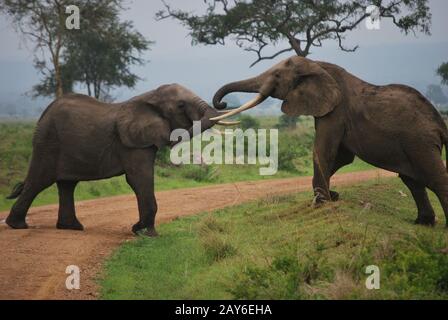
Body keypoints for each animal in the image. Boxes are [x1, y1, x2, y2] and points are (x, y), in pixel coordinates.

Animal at [6, 84, 234, 236]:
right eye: (180, 105)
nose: (222, 102)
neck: (150, 97)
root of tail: (44, 113)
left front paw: (142, 231)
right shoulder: (131, 143)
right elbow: (139, 179)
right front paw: (144, 233)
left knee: (67, 184)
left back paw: (71, 228)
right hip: (48, 142)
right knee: (39, 181)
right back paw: (17, 226)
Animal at [212, 56, 448, 226]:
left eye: (277, 75)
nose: (222, 103)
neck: (317, 64)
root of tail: (439, 123)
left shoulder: (336, 111)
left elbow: (324, 150)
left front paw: (322, 202)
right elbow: (341, 157)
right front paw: (331, 196)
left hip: (420, 142)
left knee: (436, 179)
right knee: (412, 181)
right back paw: (422, 223)